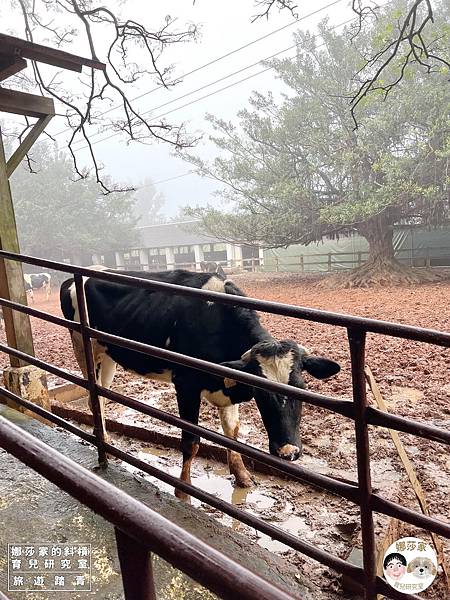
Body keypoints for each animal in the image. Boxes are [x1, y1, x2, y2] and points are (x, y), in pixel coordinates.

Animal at [60, 270, 342, 500]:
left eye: (302, 390)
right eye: (261, 393)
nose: (288, 452)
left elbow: (232, 432)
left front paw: (242, 477)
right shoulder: (185, 386)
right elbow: (191, 442)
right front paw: (183, 491)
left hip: (108, 357)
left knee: (101, 395)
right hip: (83, 347)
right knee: (93, 397)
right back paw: (103, 442)